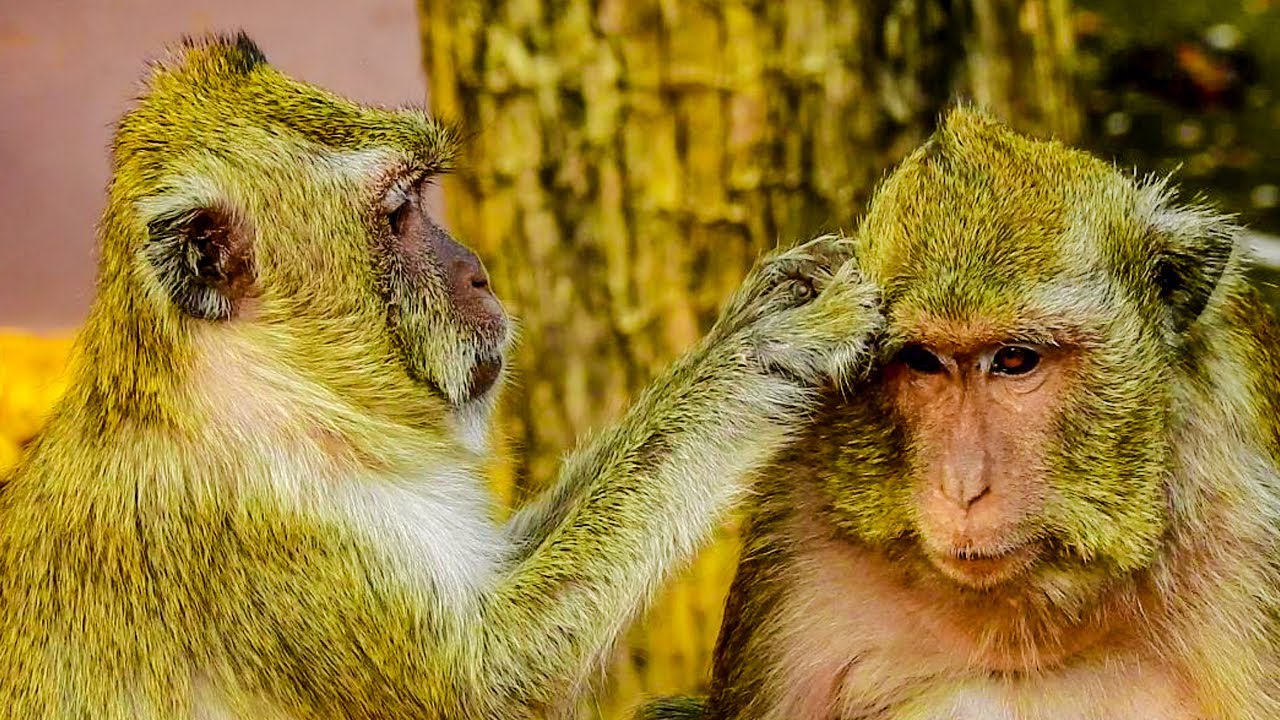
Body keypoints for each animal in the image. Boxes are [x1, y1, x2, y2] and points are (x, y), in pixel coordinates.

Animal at [0, 33, 884, 720]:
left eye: (419, 201)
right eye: (397, 216)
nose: (477, 271)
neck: (268, 401)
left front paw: (754, 314)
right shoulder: (264, 544)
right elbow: (497, 682)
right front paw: (765, 349)